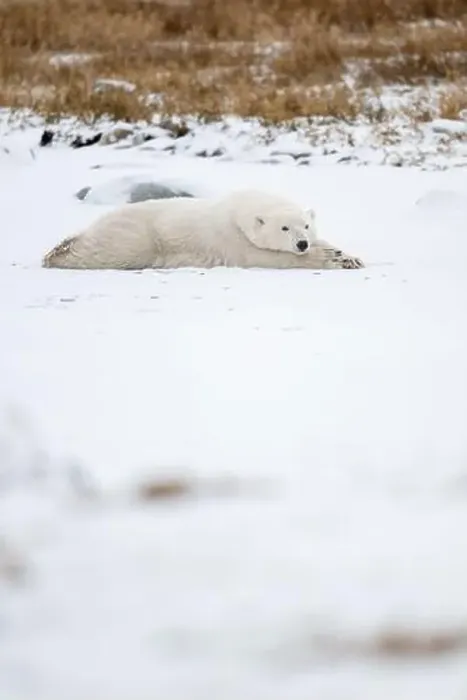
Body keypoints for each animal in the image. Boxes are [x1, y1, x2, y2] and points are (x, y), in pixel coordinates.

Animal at [42, 189, 363, 271]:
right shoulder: (231, 240)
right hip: (137, 235)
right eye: (284, 228)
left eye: (306, 226)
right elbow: (266, 258)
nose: (302, 244)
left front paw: (349, 256)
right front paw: (333, 259)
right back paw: (58, 253)